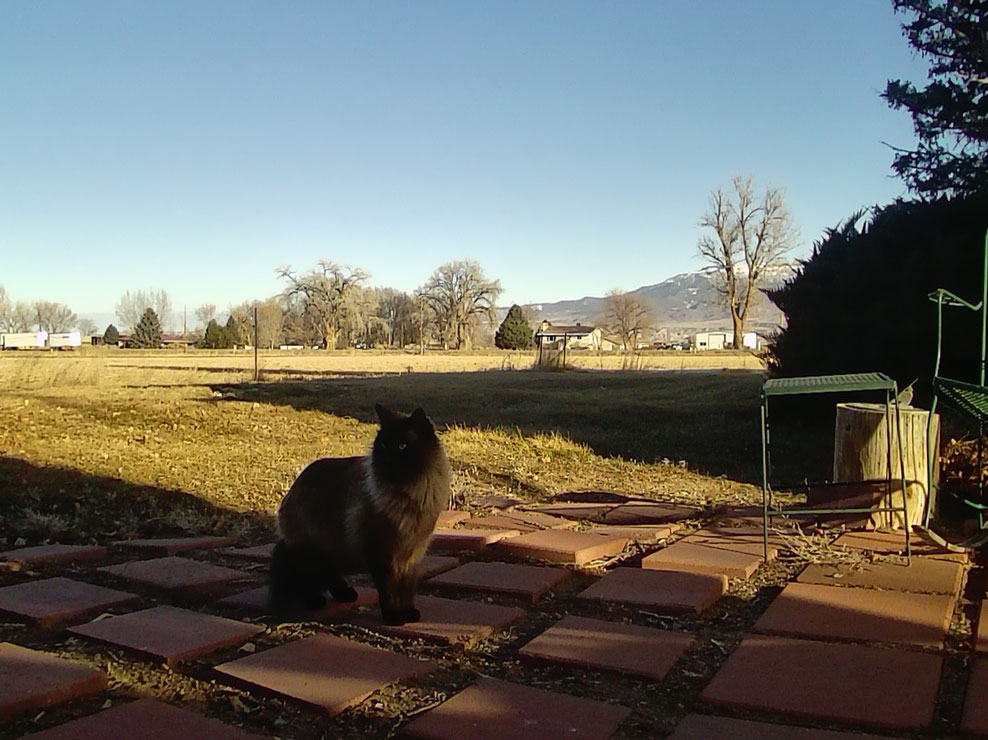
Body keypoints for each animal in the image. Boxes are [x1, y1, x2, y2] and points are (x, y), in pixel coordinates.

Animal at [270, 403, 450, 626]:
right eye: (383, 445)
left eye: (402, 446)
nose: (386, 460)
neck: (408, 496)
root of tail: (294, 488)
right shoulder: (383, 556)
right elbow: (390, 592)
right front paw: (394, 617)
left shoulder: (412, 556)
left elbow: (407, 590)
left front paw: (409, 613)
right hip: (313, 550)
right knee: (307, 579)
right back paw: (316, 601)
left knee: (329, 575)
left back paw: (346, 595)